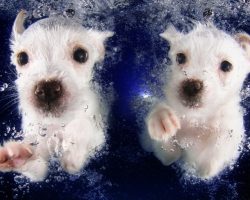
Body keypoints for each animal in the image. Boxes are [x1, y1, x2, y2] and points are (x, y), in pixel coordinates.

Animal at [0, 9, 112, 181]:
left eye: (81, 55)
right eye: (22, 58)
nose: (47, 89)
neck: (56, 124)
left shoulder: (98, 139)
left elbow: (81, 133)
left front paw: (73, 145)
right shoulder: (38, 149)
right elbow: (38, 168)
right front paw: (16, 156)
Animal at [146, 23, 250, 180]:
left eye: (226, 66)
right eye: (180, 57)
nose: (191, 86)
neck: (197, 119)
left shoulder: (211, 161)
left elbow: (209, 158)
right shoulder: (167, 157)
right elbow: (168, 152)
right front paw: (161, 118)